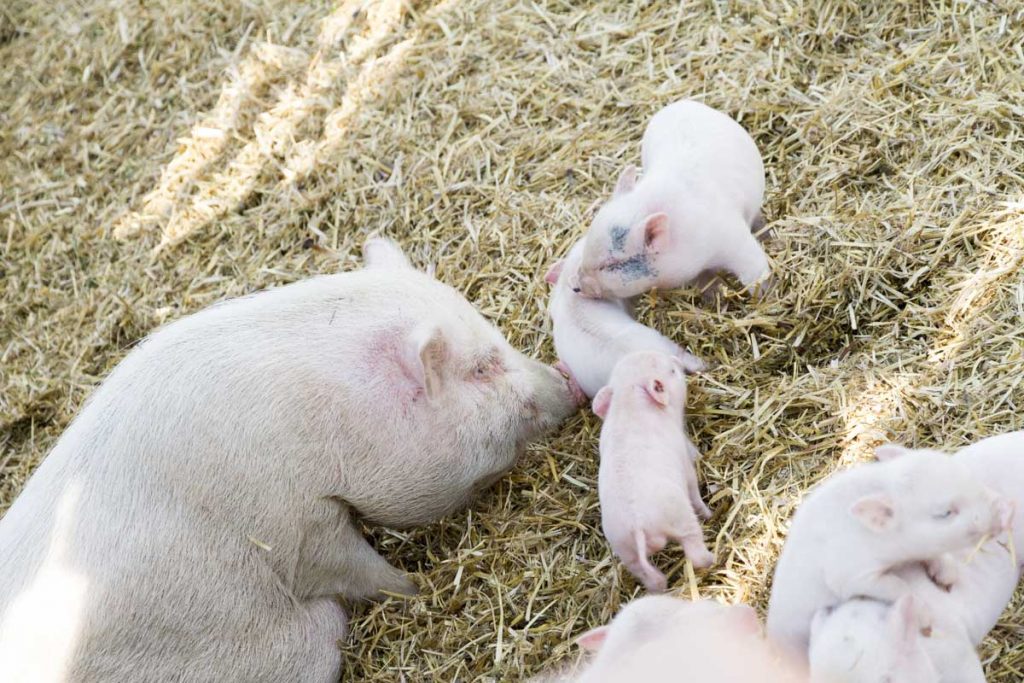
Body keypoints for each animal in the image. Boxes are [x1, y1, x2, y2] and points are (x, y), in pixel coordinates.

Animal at [0, 237, 577, 679]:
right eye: (481, 368)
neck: (336, 416)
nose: (567, 379)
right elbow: (357, 569)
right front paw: (415, 591)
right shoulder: (299, 524)